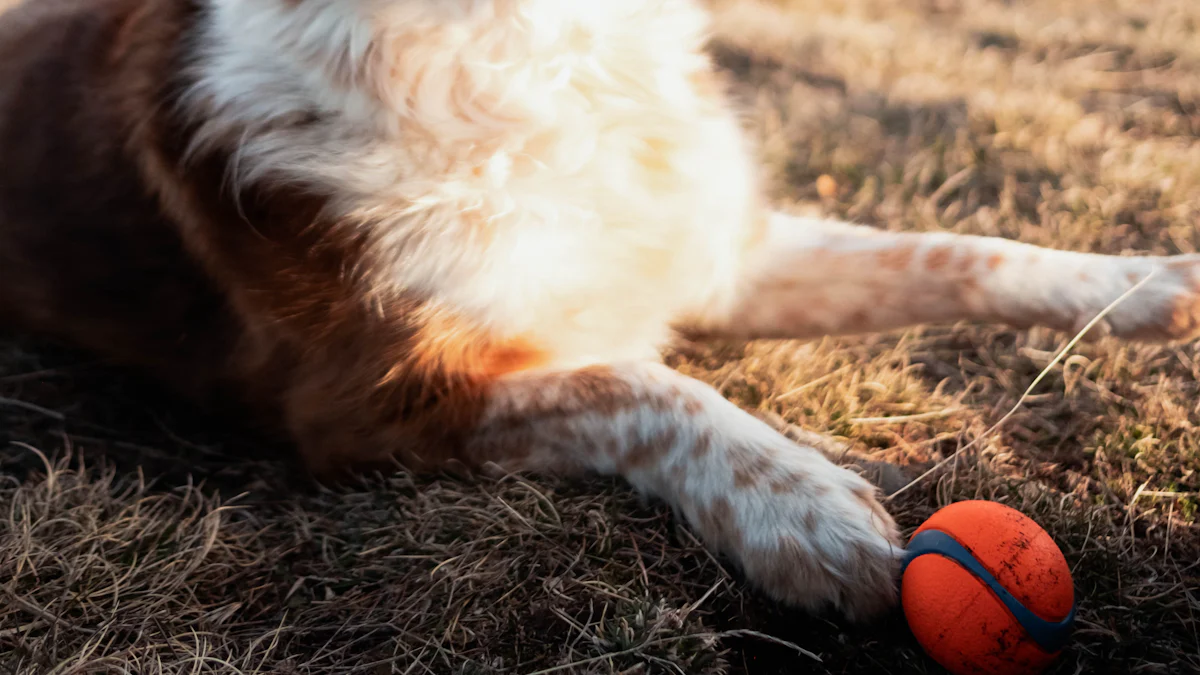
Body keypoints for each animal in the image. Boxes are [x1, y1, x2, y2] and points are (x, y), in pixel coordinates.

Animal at [2, 0, 1200, 619]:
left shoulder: (719, 254)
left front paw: (1147, 285)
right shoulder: (365, 402)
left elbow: (958, 252)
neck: (538, 55)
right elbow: (642, 381)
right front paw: (801, 507)